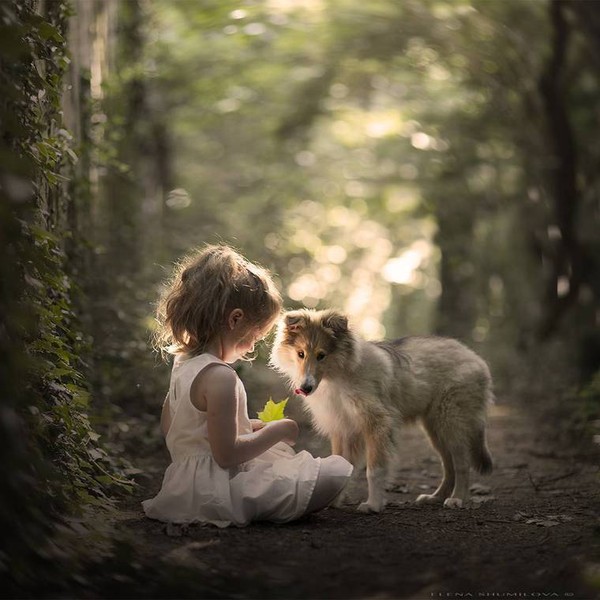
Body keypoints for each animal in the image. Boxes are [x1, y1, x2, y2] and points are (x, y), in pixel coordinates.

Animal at [270, 310, 492, 510]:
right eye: (300, 354)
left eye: (321, 355)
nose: (305, 388)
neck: (338, 376)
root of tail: (474, 357)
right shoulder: (342, 428)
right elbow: (340, 464)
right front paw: (332, 500)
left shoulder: (377, 424)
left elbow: (374, 470)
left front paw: (373, 505)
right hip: (435, 430)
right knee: (449, 466)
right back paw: (435, 497)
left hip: (452, 422)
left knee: (462, 464)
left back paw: (457, 499)